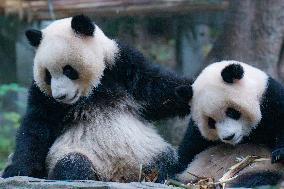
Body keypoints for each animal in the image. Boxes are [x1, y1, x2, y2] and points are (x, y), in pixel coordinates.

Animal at [1, 14, 192, 182]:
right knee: (72, 165)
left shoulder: (122, 65)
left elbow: (158, 90)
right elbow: (37, 126)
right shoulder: (42, 95)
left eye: (68, 70)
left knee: (167, 161)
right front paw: (16, 169)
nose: (59, 96)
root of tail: (118, 174)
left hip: (147, 151)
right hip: (80, 155)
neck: (92, 90)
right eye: (48, 75)